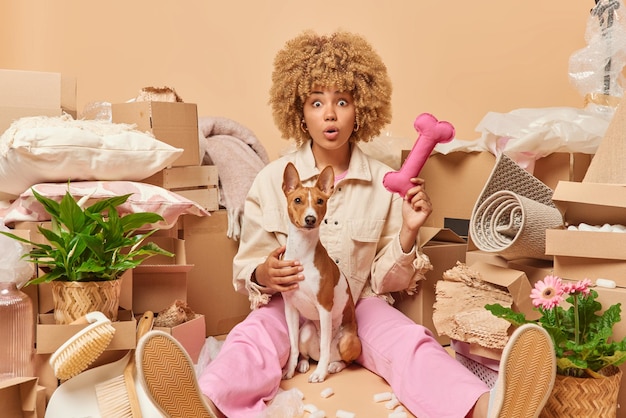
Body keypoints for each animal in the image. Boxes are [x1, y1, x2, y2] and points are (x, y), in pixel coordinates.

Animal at [282, 162, 360, 382]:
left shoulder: (325, 308)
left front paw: (320, 374)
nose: (310, 218)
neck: (302, 252)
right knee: (308, 353)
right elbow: (292, 346)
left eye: (320, 201)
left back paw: (332, 366)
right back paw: (304, 364)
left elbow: (325, 347)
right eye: (297, 200)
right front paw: (289, 370)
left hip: (348, 341)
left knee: (343, 359)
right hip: (306, 331)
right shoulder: (290, 308)